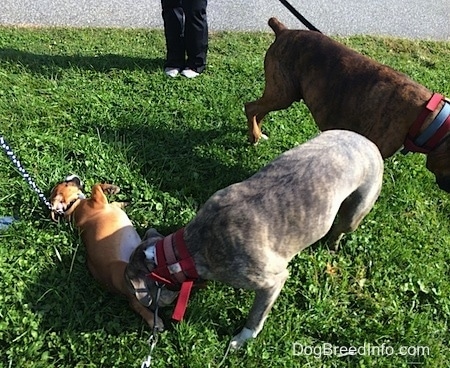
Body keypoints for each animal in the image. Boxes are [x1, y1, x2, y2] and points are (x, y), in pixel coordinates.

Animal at [49, 175, 162, 330]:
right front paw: (111, 188)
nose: (71, 176)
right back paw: (153, 319)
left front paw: (121, 201)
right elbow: (96, 186)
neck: (73, 207)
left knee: (135, 304)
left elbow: (112, 201)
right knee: (135, 303)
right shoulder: (98, 199)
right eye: (65, 184)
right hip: (126, 268)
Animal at [125, 129, 384, 348]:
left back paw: (331, 246)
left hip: (356, 211)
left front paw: (241, 340)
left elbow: (256, 317)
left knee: (341, 228)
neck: (186, 251)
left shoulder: (271, 282)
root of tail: (368, 141)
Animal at [246, 16, 450, 193]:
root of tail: (285, 31)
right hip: (283, 94)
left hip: (280, 93)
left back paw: (258, 133)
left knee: (259, 111)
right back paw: (254, 135)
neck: (427, 117)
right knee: (250, 107)